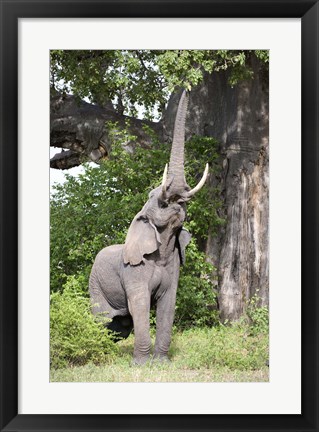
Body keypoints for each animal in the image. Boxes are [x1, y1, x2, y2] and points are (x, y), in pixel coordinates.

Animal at [89, 90, 210, 364]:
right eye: (158, 200)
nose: (188, 87)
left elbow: (168, 304)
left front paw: (161, 363)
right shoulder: (134, 270)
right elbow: (141, 303)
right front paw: (142, 364)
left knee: (121, 325)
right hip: (95, 285)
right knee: (102, 319)